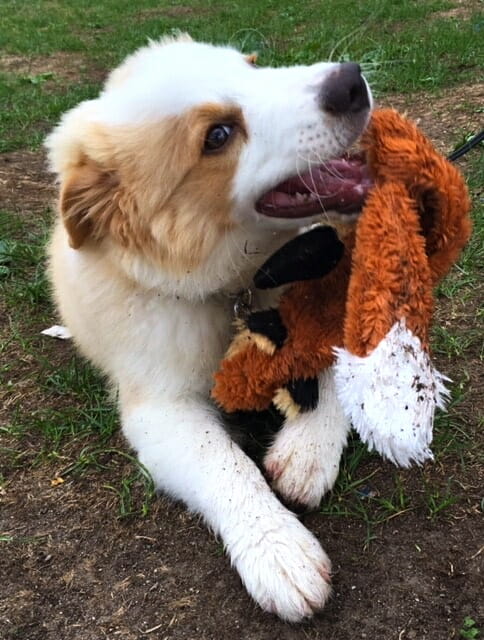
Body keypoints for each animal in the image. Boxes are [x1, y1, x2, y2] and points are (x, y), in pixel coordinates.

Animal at [46, 35, 370, 620]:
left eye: (255, 66)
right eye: (217, 136)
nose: (351, 81)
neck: (241, 283)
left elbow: (333, 357)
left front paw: (308, 451)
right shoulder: (158, 410)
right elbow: (223, 462)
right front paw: (280, 553)